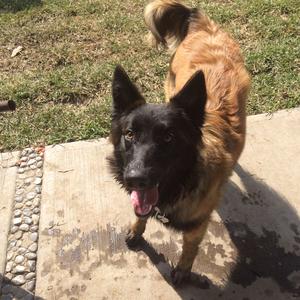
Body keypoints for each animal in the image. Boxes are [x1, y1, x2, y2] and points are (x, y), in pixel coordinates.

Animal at [109, 0, 250, 284]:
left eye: (168, 137)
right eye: (130, 134)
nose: (134, 179)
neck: (182, 181)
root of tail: (204, 26)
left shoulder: (198, 224)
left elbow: (190, 249)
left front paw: (184, 270)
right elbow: (140, 215)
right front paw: (136, 230)